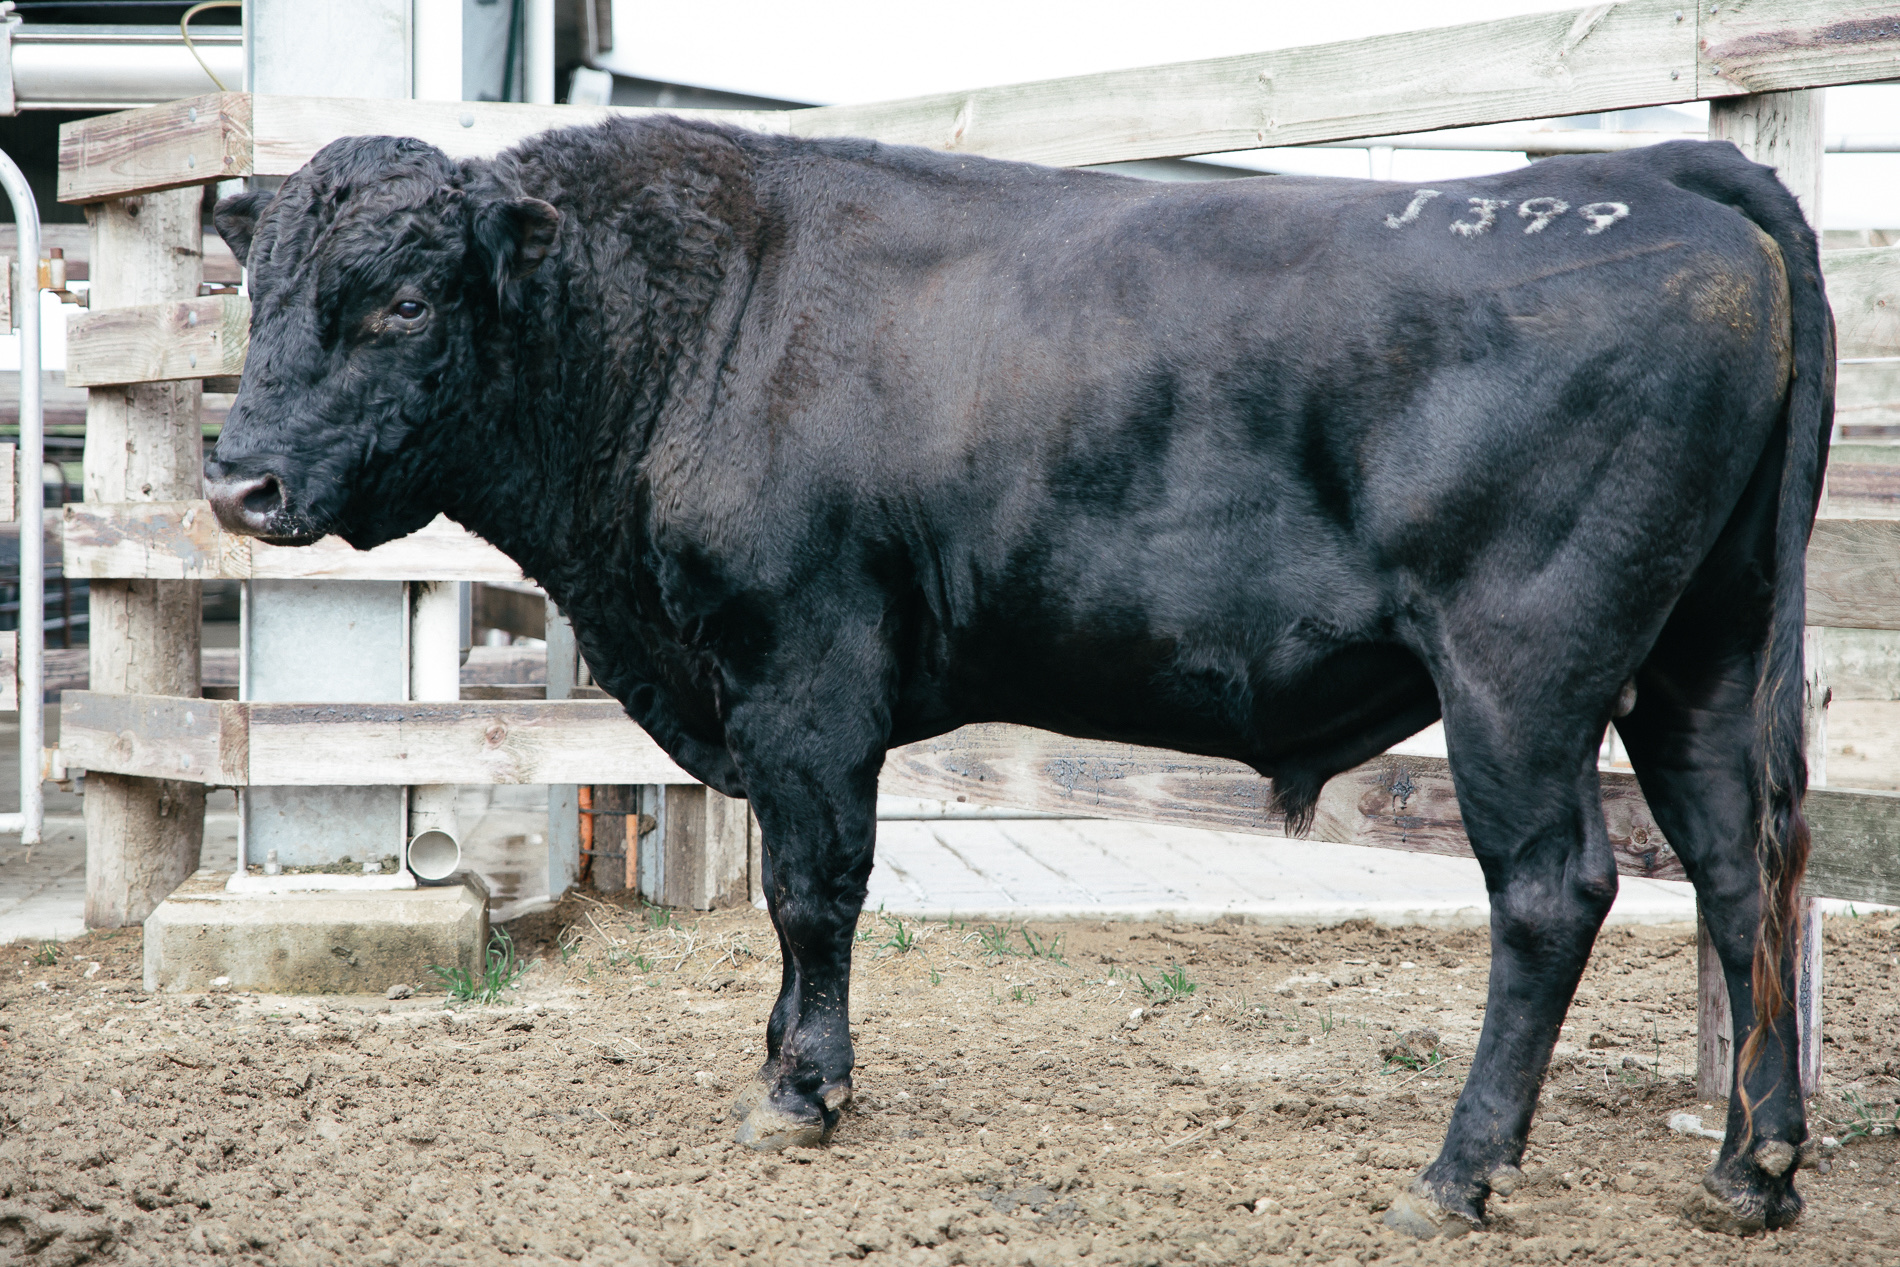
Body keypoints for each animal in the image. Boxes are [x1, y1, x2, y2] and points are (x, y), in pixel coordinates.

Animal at [201, 118, 1831, 1238]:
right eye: (258, 293)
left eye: (405, 303)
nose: (238, 480)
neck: (697, 321)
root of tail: (1671, 170)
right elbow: (795, 896)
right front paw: (784, 1056)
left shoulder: (806, 667)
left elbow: (816, 887)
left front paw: (802, 1089)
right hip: (1703, 656)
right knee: (1743, 871)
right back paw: (1752, 1165)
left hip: (1521, 669)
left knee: (1556, 889)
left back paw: (1458, 1170)